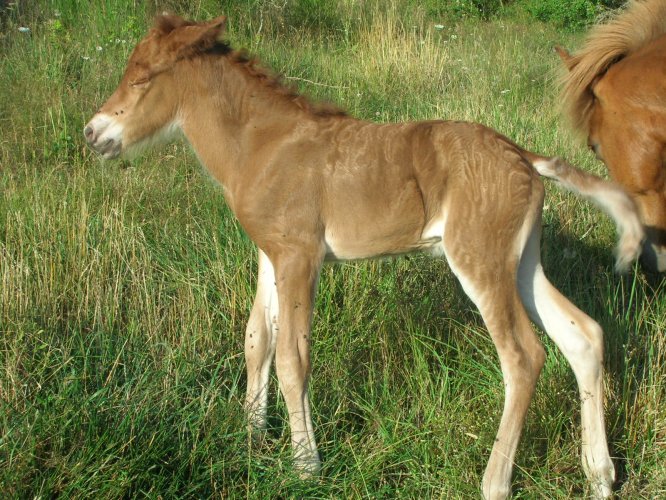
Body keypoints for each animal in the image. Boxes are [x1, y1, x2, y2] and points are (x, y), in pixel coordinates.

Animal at [84, 15, 644, 499]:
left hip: (479, 260)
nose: (93, 133)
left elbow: (292, 357)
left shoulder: (300, 255)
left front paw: (305, 467)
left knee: (524, 357)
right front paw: (250, 440)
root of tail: (524, 156)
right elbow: (256, 340)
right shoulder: (270, 253)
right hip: (521, 262)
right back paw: (600, 477)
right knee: (583, 335)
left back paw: (495, 482)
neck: (261, 144)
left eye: (143, 78)